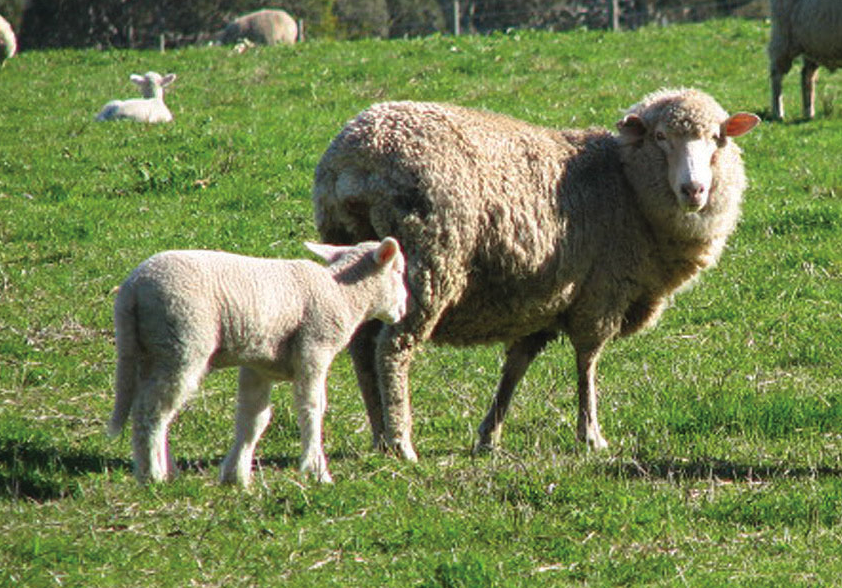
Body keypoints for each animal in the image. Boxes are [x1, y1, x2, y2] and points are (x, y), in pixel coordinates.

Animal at [106, 237, 408, 484]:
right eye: (399, 271)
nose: (403, 309)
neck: (344, 295)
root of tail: (132, 288)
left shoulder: (259, 365)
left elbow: (253, 417)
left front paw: (236, 475)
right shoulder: (313, 349)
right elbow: (312, 408)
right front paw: (316, 470)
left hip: (149, 349)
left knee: (153, 406)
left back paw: (165, 470)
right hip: (182, 341)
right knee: (151, 410)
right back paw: (152, 475)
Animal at [312, 89, 756, 462]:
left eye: (717, 137)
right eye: (661, 137)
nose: (694, 190)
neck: (627, 187)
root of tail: (357, 157)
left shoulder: (542, 300)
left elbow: (515, 367)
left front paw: (489, 436)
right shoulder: (601, 294)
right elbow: (587, 362)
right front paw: (590, 435)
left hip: (358, 252)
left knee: (362, 346)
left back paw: (379, 436)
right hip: (428, 263)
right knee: (392, 348)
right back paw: (401, 441)